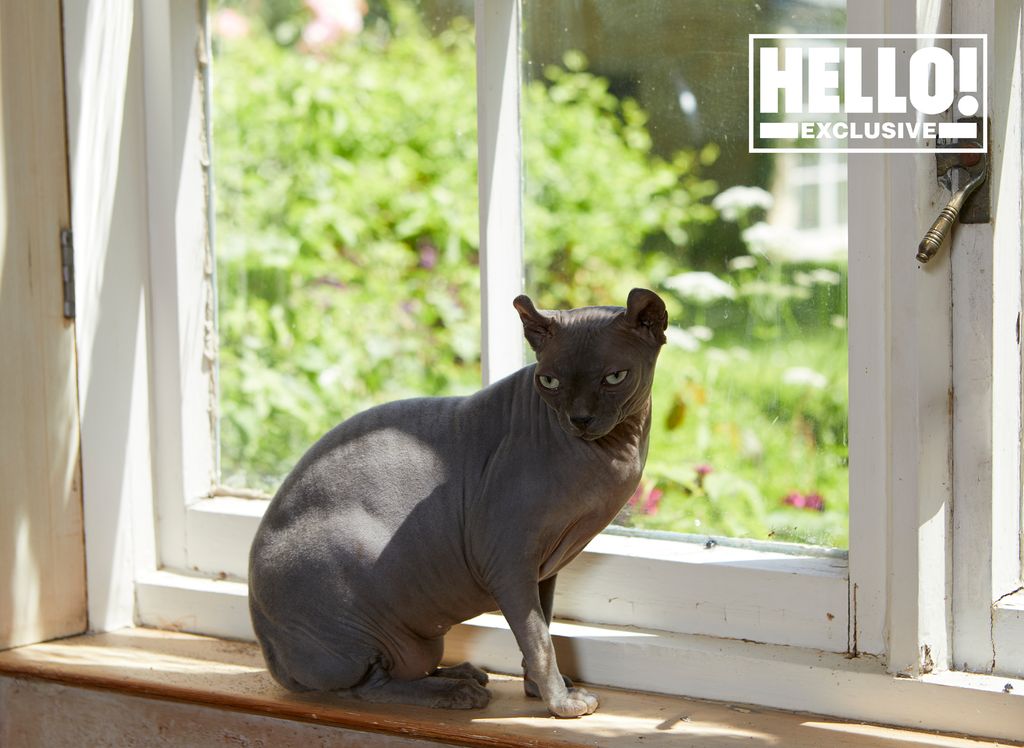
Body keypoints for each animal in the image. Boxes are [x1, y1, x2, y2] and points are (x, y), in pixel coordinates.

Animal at [246, 286, 663, 717]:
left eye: (614, 377)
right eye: (549, 381)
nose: (579, 419)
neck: (616, 450)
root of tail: (271, 654)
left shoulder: (545, 570)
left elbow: (543, 626)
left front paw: (538, 689)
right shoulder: (508, 563)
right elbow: (538, 640)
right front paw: (560, 702)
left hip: (422, 638)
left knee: (403, 669)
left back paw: (459, 674)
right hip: (349, 586)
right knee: (366, 686)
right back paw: (454, 693)